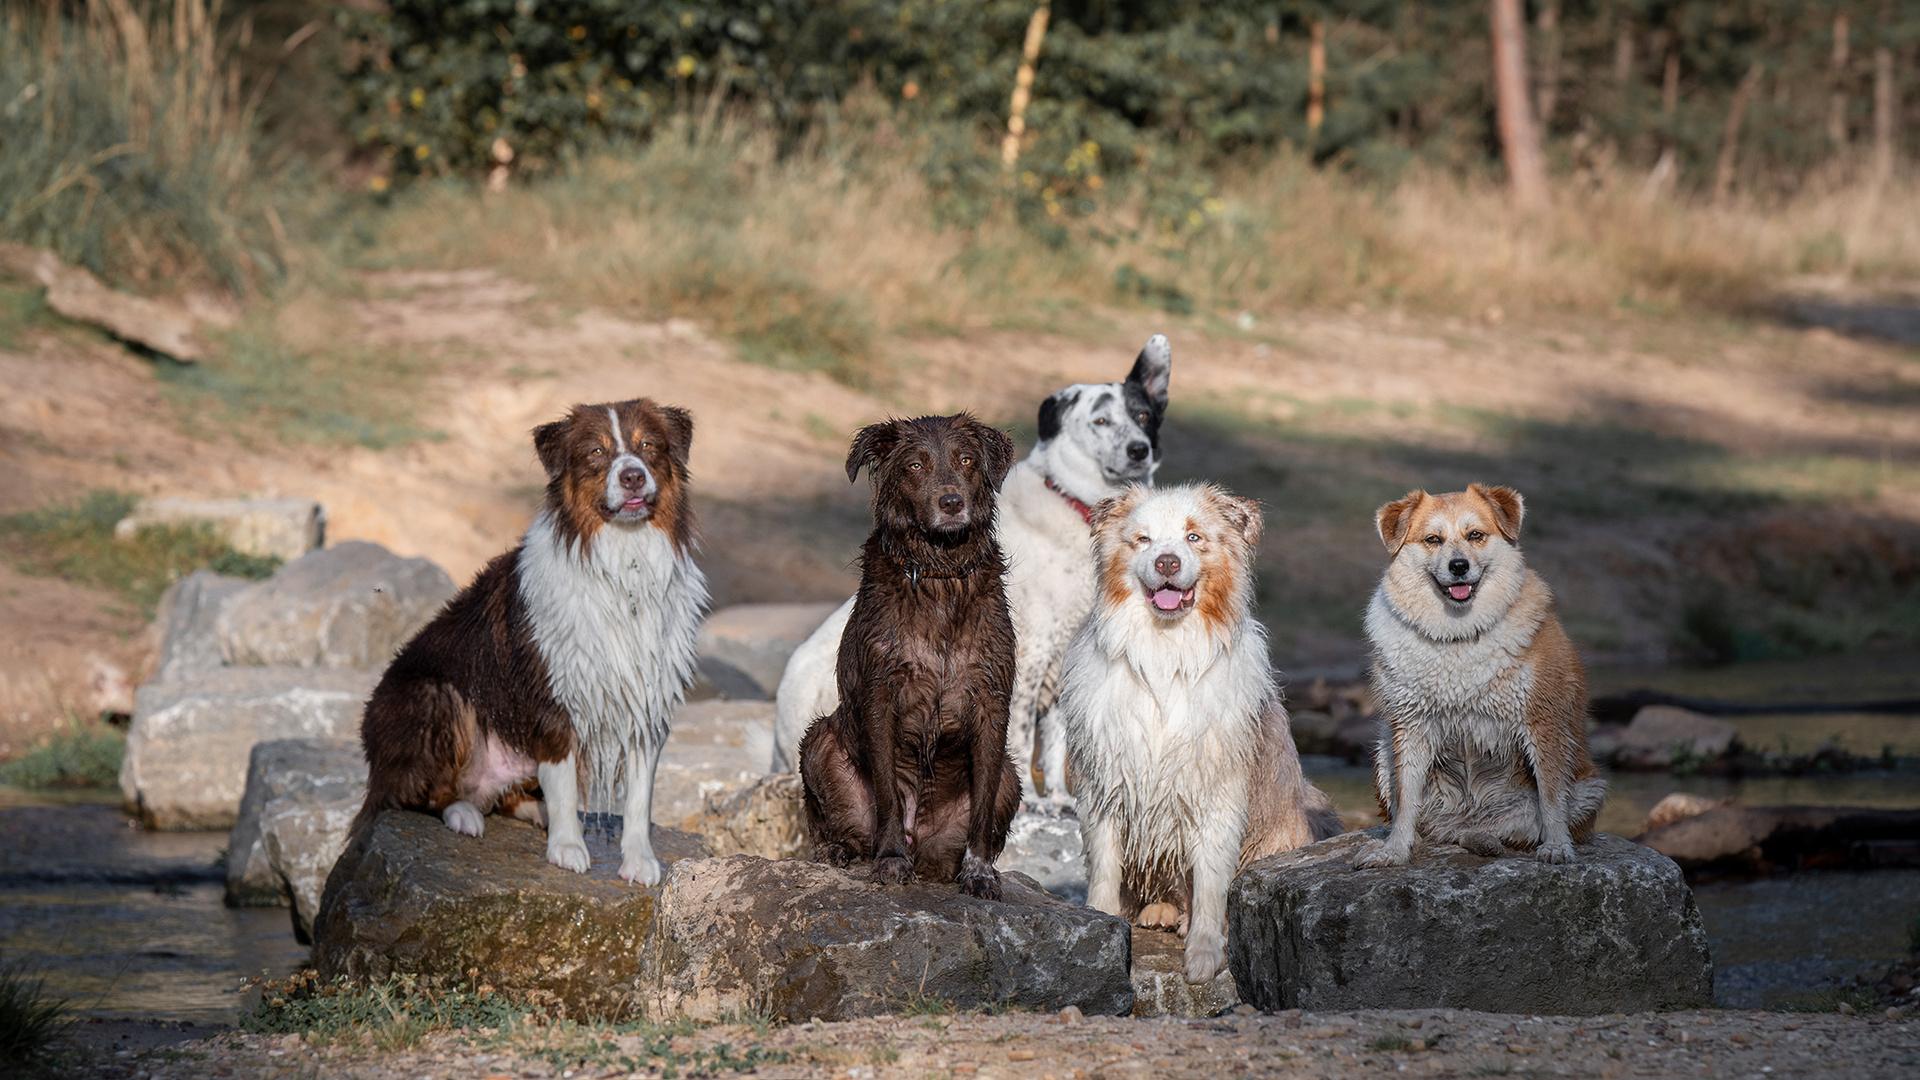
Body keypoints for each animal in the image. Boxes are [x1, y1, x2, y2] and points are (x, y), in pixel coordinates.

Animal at [353, 397, 706, 883]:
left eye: (648, 446)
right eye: (597, 452)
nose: (633, 475)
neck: (623, 562)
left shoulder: (645, 699)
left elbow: (639, 795)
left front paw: (640, 861)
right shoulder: (552, 697)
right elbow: (562, 781)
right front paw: (567, 847)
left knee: (503, 796)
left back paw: (532, 811)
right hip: (433, 695)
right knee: (415, 794)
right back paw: (463, 813)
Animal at [1059, 484, 1344, 980]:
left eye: (1194, 537)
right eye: (1144, 539)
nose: (1167, 563)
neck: (1165, 655)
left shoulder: (1217, 790)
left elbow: (1211, 881)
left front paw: (1205, 951)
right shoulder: (1105, 782)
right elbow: (1105, 866)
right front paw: (1101, 920)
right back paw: (1159, 910)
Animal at [1351, 478, 1605, 864]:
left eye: (1475, 535)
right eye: (1433, 539)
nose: (1458, 566)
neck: (1458, 635)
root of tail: (1469, 820)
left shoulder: (1542, 720)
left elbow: (1550, 796)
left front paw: (1557, 847)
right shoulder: (1410, 726)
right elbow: (1406, 797)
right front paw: (1394, 851)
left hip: (1589, 787)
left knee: (1526, 826)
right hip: (1382, 754)